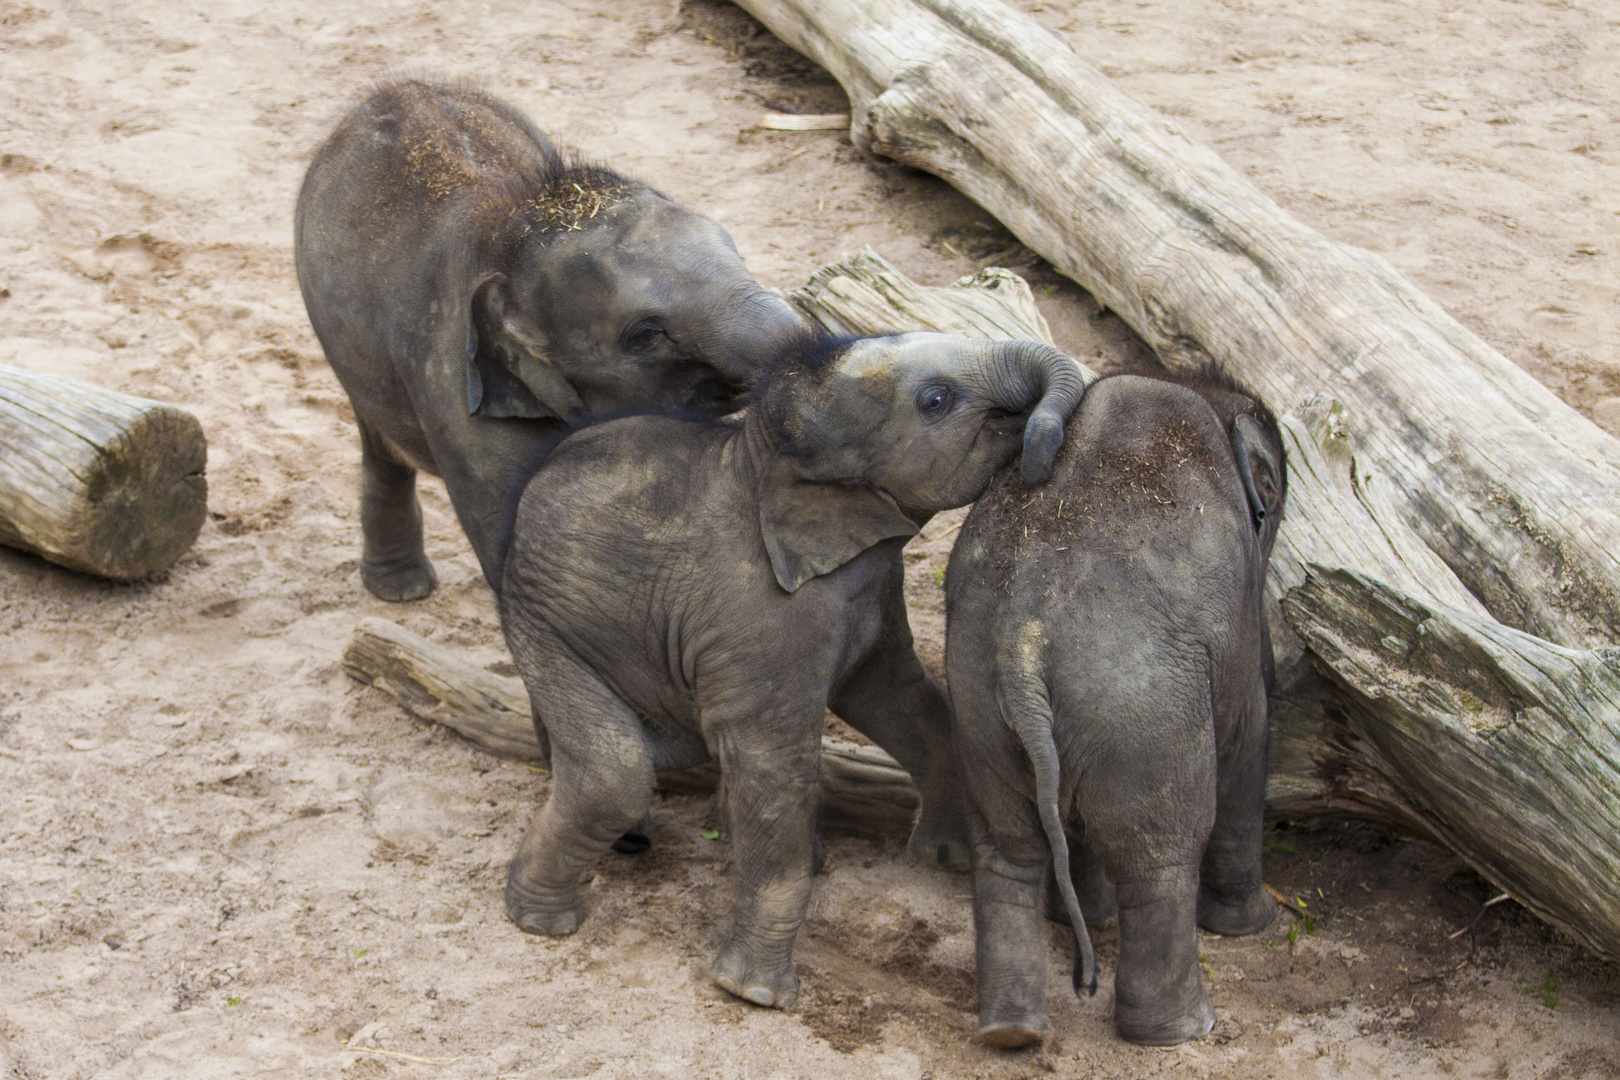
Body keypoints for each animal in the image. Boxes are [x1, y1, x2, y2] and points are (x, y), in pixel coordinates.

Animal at [298, 80, 803, 605]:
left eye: (739, 254)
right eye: (645, 336)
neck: (508, 227)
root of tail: (390, 90)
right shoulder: (453, 388)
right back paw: (403, 590)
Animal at [498, 331, 1082, 1016]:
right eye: (936, 400)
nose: (1040, 456)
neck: (758, 453)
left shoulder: (868, 589)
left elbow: (901, 698)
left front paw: (944, 860)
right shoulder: (757, 615)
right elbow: (774, 766)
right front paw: (753, 994)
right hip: (542, 625)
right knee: (612, 774)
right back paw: (540, 920)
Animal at [946, 365, 1283, 1049]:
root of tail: (1022, 641)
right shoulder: (1235, 626)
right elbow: (1248, 733)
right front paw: (1252, 924)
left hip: (981, 712)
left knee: (1007, 852)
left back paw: (1011, 1031)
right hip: (1142, 706)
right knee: (1162, 851)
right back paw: (1181, 1029)